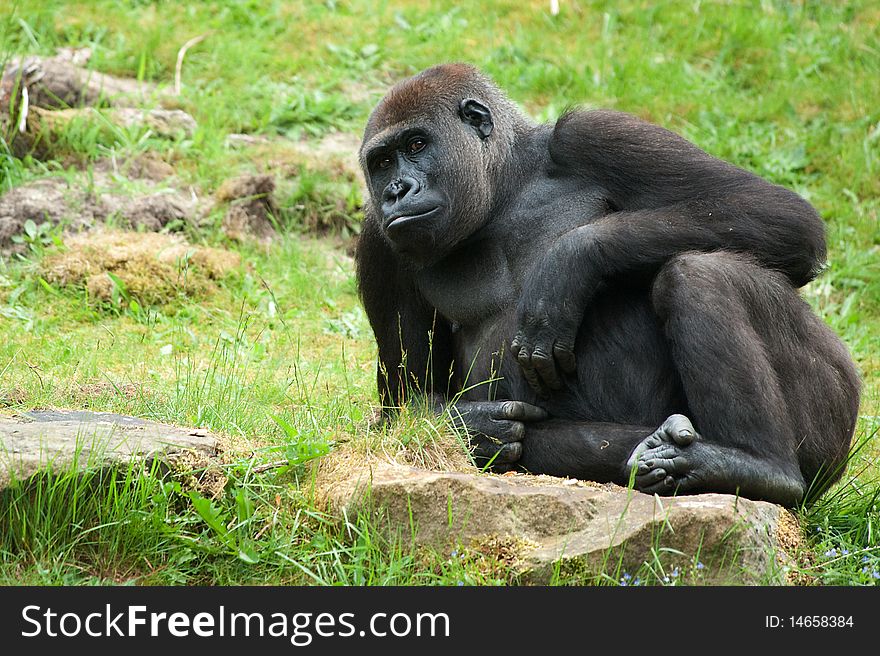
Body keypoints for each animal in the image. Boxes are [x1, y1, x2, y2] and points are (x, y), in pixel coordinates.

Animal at [352, 62, 860, 508]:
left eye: (417, 144)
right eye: (381, 162)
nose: (395, 191)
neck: (504, 186)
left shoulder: (591, 134)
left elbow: (779, 213)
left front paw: (569, 263)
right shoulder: (378, 241)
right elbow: (407, 406)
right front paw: (476, 427)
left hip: (833, 425)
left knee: (700, 271)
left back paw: (760, 467)